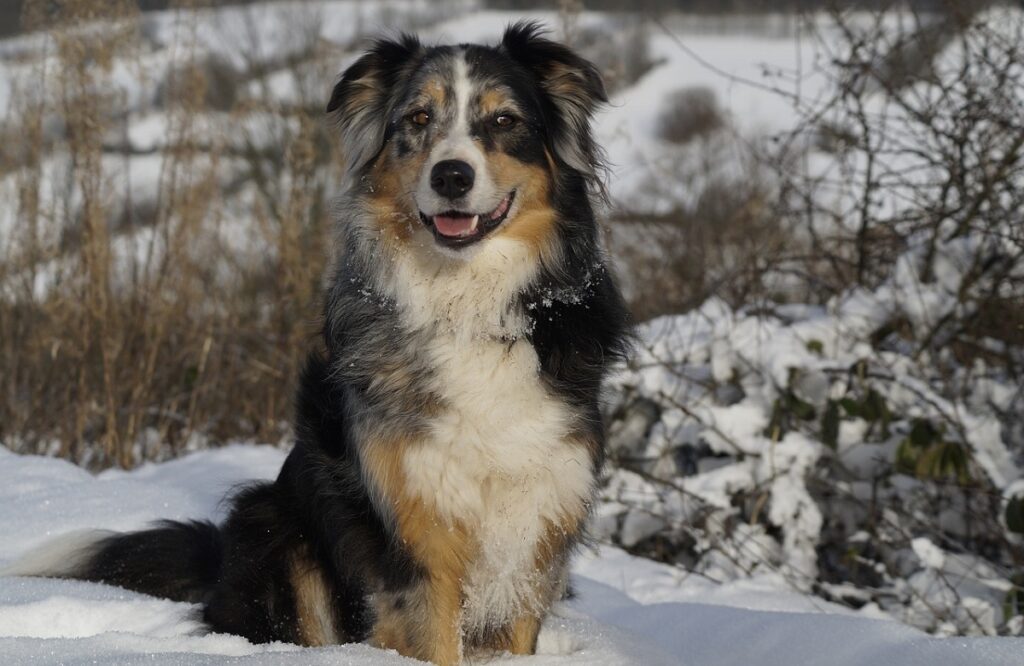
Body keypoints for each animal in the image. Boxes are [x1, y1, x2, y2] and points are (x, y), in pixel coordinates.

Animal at [2, 20, 630, 663]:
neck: (468, 303)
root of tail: (220, 557)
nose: (451, 176)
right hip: (275, 529)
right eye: (418, 118)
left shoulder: (535, 528)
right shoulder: (413, 533)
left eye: (504, 120)